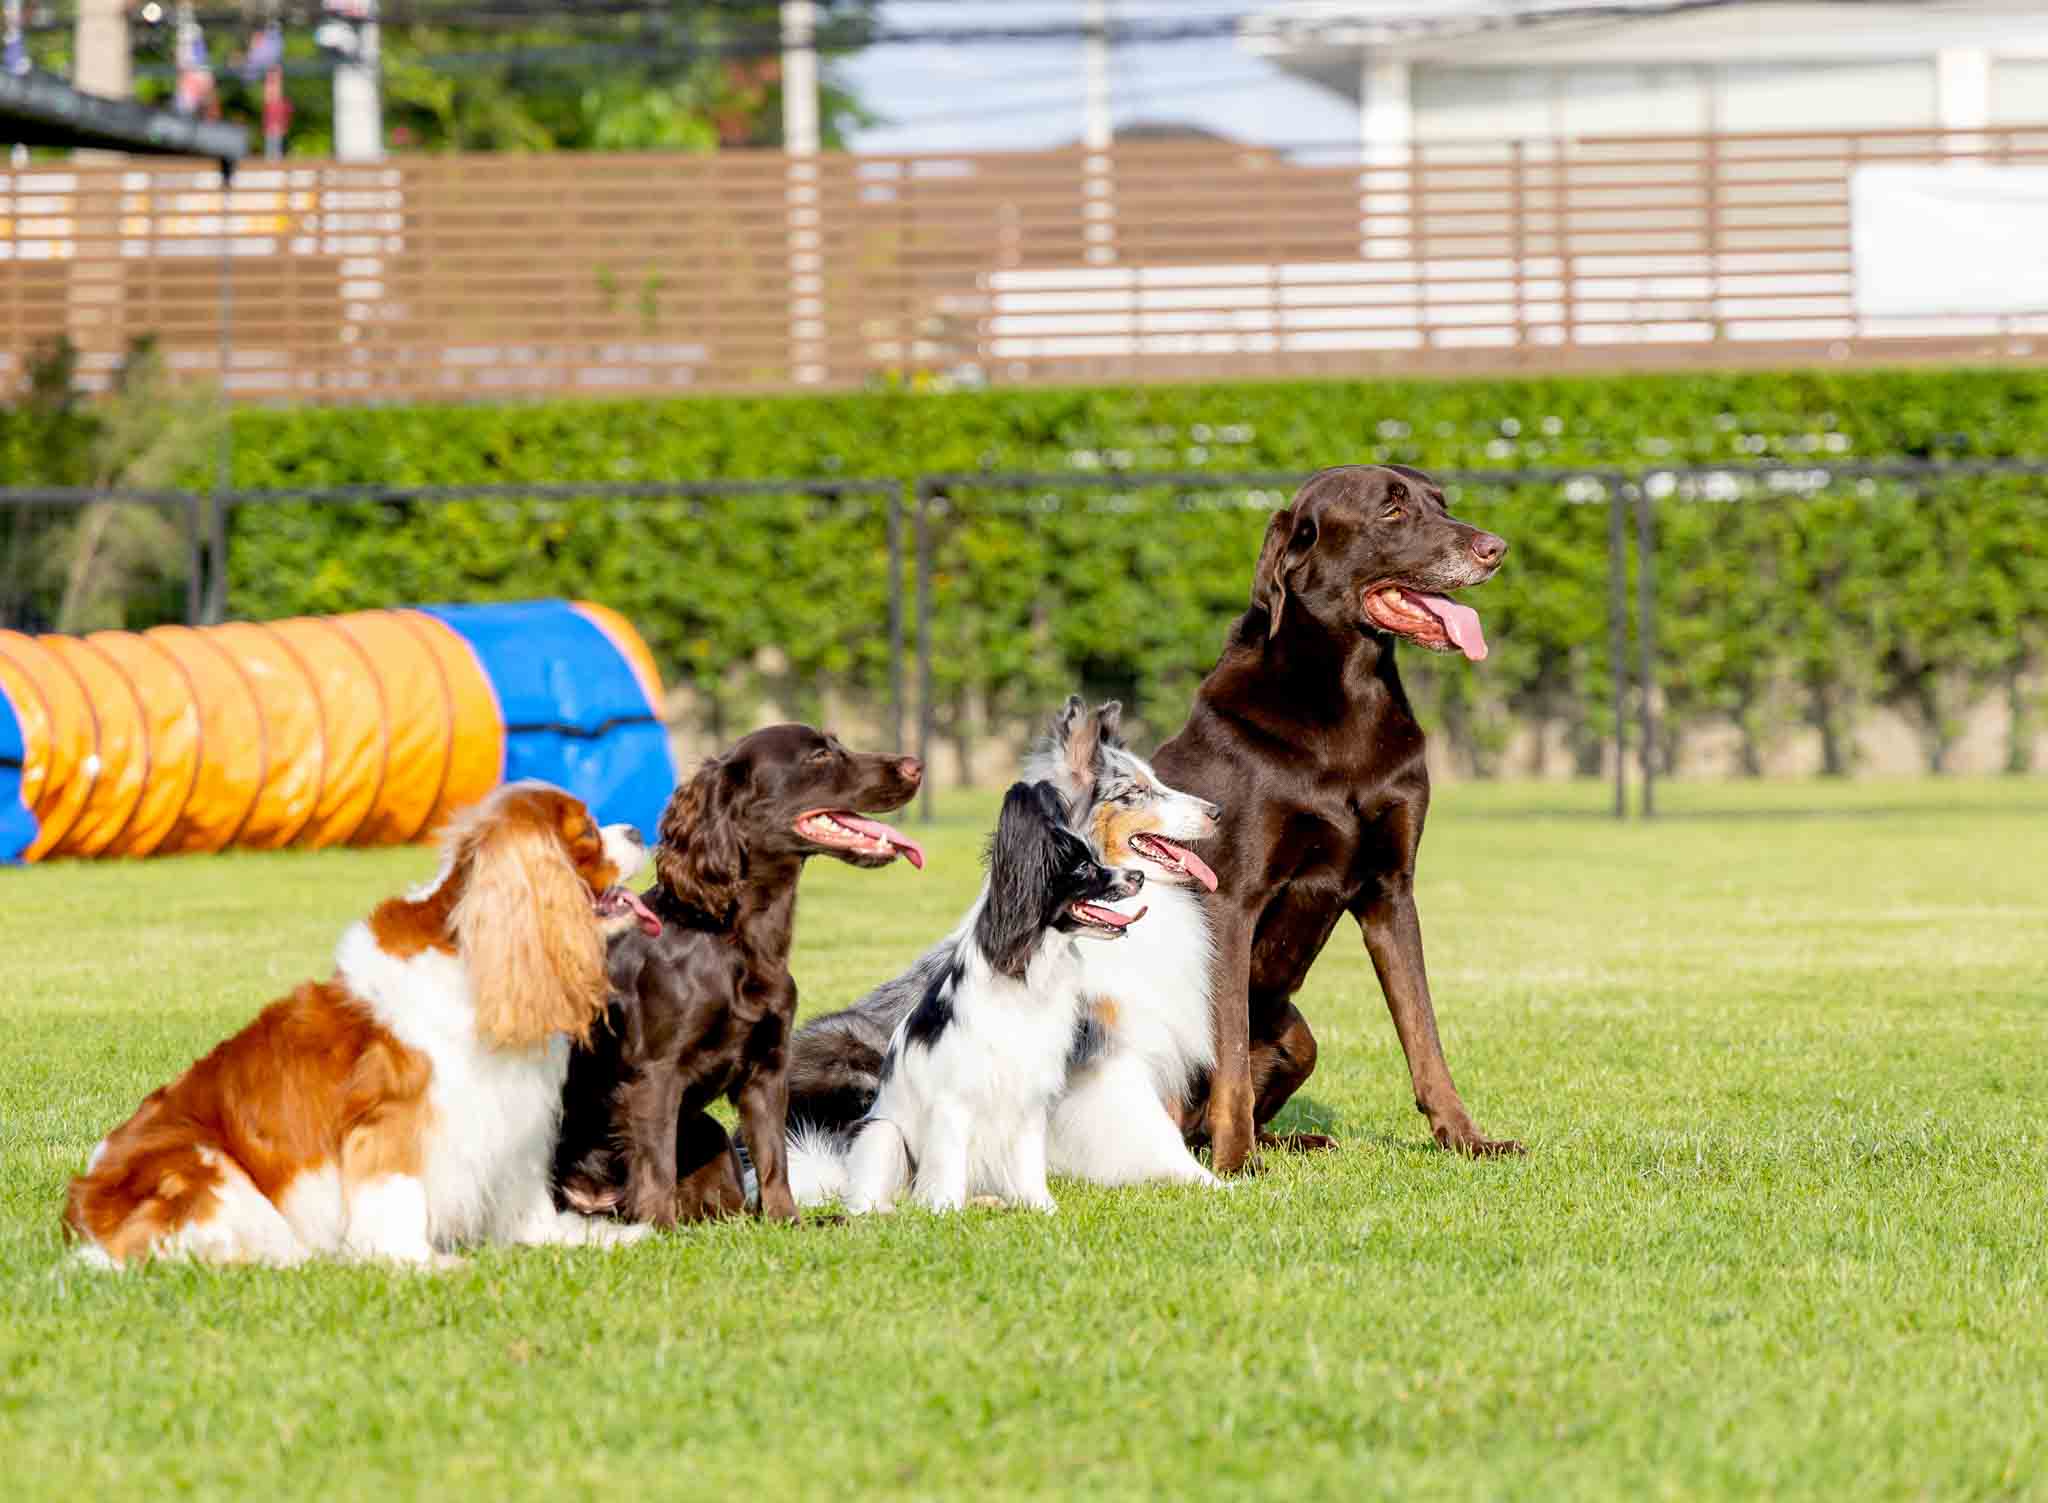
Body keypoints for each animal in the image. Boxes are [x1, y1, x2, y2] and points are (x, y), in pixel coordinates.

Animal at [782, 782, 1146, 1220]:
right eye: (1083, 869)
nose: (1140, 874)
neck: (1026, 967)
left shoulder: (1028, 1098)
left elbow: (1029, 1164)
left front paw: (1041, 1209)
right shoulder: (954, 1102)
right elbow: (948, 1164)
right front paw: (945, 1211)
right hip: (881, 1132)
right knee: (872, 1198)